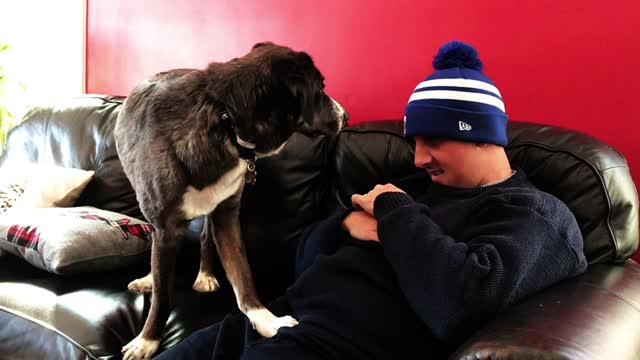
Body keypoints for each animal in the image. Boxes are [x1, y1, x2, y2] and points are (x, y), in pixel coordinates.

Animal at [112, 43, 348, 360]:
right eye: (320, 88)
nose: (346, 116)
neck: (227, 121)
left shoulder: (227, 215)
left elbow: (243, 275)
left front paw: (266, 319)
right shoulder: (166, 228)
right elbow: (162, 296)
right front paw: (147, 339)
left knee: (204, 237)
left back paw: (205, 274)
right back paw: (150, 278)